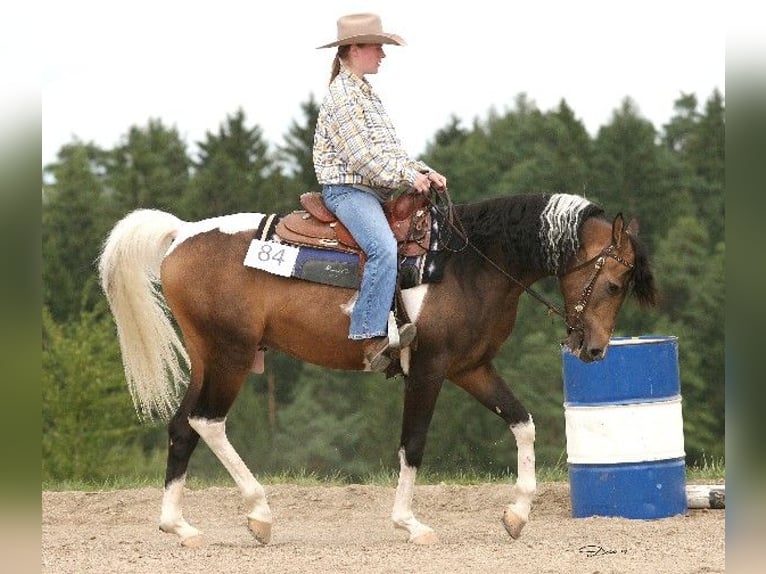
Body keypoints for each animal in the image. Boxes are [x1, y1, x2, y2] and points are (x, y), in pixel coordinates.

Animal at [98, 191, 656, 547]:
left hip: (207, 358)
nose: (594, 350)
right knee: (208, 422)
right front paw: (410, 524)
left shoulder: (471, 367)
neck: (466, 265)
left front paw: (517, 514)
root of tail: (181, 233)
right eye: (613, 283)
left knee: (182, 427)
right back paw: (259, 513)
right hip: (231, 355)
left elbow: (523, 423)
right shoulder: (428, 367)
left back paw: (180, 527)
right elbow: (413, 443)